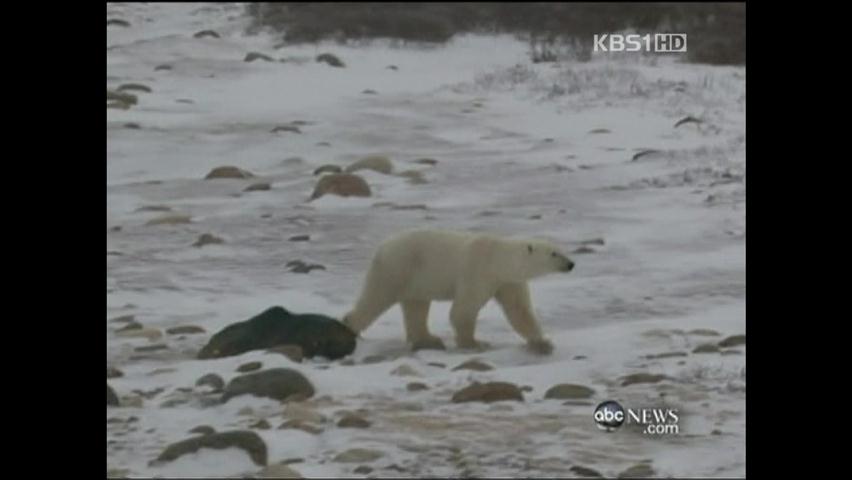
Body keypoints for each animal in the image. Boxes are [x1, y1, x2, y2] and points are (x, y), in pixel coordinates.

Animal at [342, 231, 576, 354]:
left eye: (561, 250)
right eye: (554, 254)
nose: (571, 264)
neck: (498, 258)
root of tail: (381, 247)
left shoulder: (508, 281)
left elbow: (520, 311)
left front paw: (543, 342)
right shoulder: (477, 271)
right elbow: (463, 310)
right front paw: (475, 343)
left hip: (416, 279)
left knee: (416, 306)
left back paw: (429, 340)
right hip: (397, 267)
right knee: (376, 298)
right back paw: (350, 327)